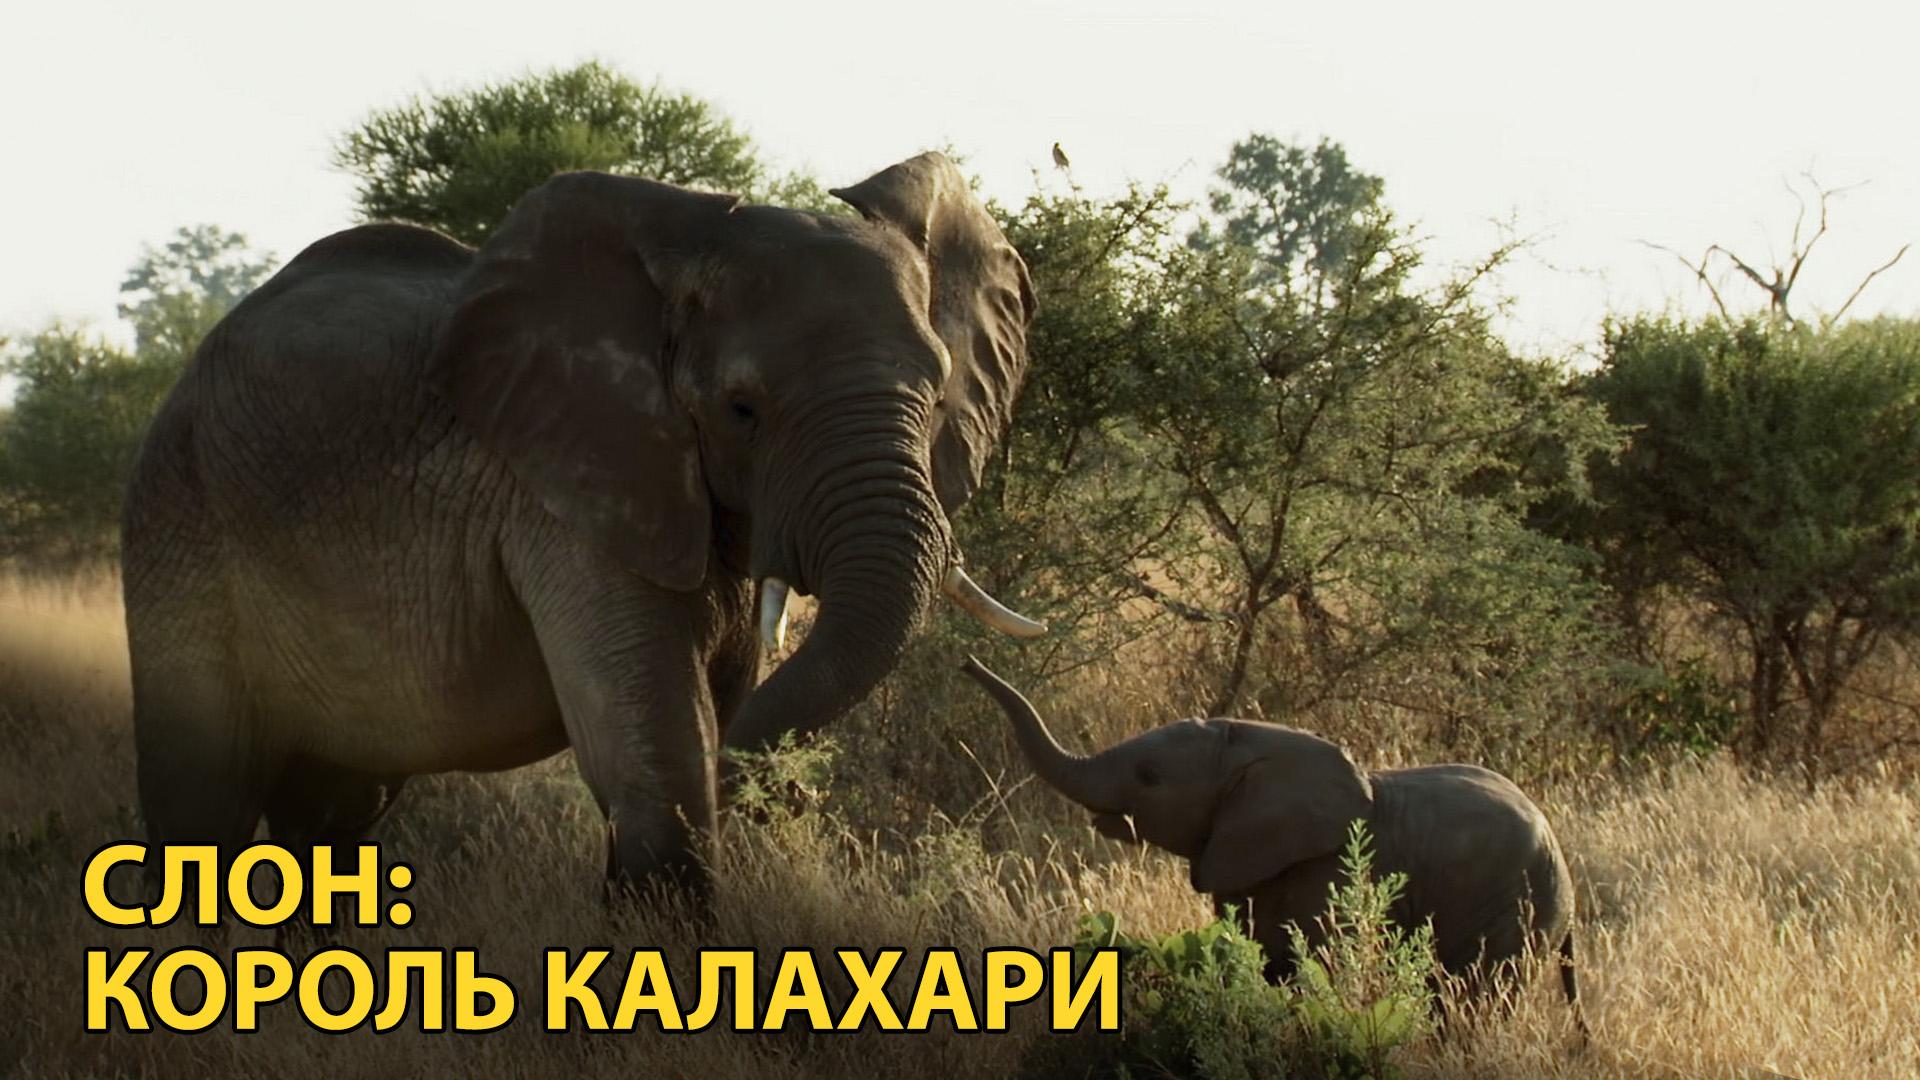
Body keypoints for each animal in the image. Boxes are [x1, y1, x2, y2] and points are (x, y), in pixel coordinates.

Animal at [120, 151, 1048, 903]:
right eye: (741, 408)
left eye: (935, 395)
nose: (775, 793)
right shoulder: (563, 489)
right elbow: (653, 750)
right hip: (177, 508)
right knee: (204, 799)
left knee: (333, 812)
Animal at [960, 658, 1583, 1021]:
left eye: (1149, 776)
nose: (969, 660)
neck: (1248, 748)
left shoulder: (1325, 874)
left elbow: (1311, 969)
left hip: (1511, 906)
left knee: (1476, 999)